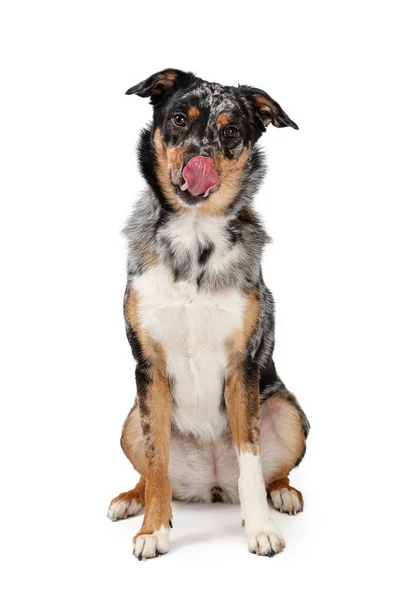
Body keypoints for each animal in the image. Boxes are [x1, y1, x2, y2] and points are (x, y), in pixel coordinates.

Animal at [108, 69, 310, 556]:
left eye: (231, 131)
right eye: (180, 119)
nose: (197, 159)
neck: (194, 241)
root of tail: (213, 485)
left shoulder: (243, 367)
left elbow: (251, 460)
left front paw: (261, 530)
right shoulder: (149, 368)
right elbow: (156, 462)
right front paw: (153, 530)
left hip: (288, 411)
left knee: (271, 471)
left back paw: (284, 493)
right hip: (130, 420)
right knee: (150, 473)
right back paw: (131, 499)